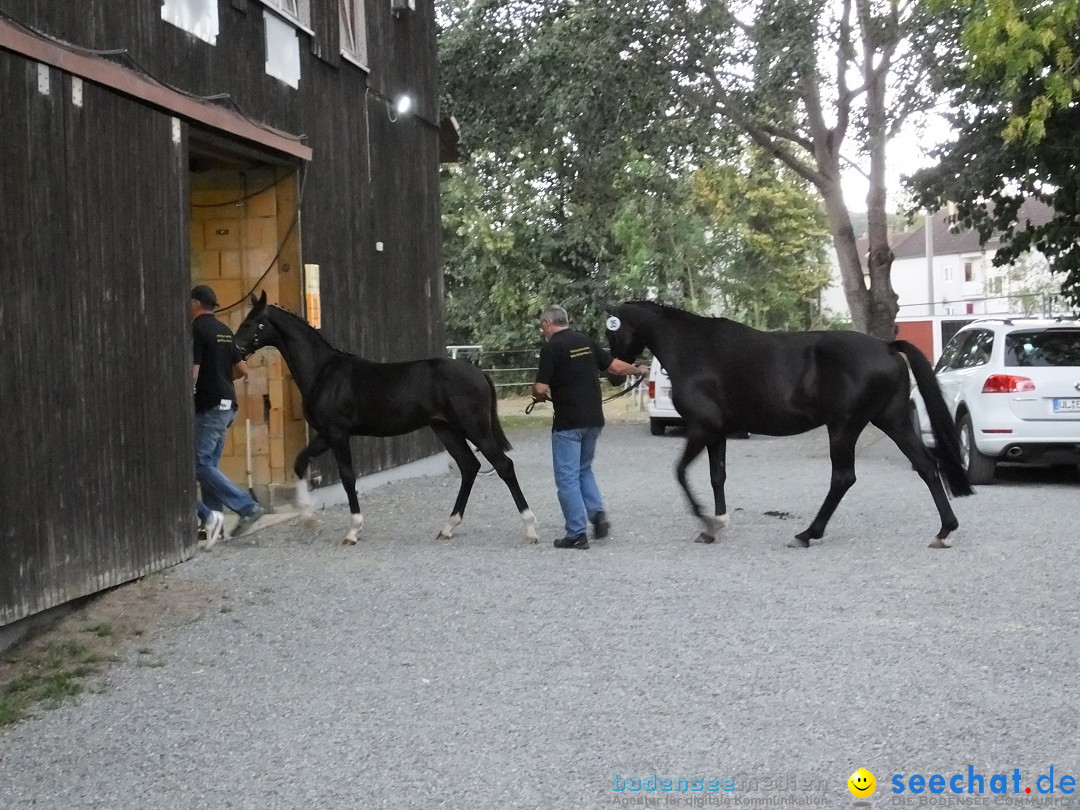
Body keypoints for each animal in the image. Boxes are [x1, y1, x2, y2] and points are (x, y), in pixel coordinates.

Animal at [236, 291, 540, 546]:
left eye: (253, 323)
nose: (236, 349)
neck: (324, 372)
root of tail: (479, 373)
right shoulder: (327, 433)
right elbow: (300, 462)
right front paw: (308, 518)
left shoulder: (338, 434)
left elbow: (348, 477)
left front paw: (353, 530)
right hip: (446, 429)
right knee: (469, 466)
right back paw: (448, 527)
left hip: (474, 428)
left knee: (503, 465)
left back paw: (530, 529)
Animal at [604, 302, 976, 552]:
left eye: (611, 329)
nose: (613, 375)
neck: (693, 348)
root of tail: (886, 347)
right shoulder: (717, 432)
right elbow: (716, 476)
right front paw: (717, 525)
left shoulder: (701, 428)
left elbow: (680, 472)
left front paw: (706, 520)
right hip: (892, 421)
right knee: (926, 466)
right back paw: (944, 531)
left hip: (844, 427)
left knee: (843, 478)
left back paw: (807, 534)